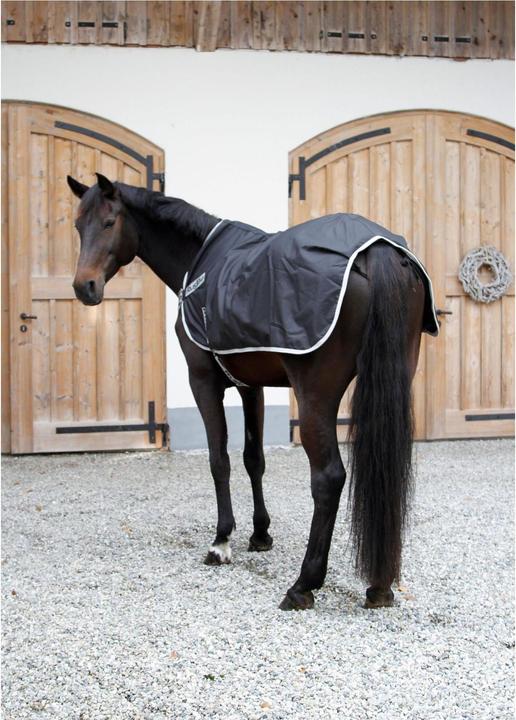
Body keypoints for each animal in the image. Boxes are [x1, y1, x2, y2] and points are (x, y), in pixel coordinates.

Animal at [67, 172, 434, 611]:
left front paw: (221, 540)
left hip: (316, 396)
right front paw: (260, 534)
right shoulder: (251, 387)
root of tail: (376, 250)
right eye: (77, 225)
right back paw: (379, 586)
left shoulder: (202, 381)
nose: (84, 287)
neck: (199, 261)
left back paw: (303, 585)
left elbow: (219, 459)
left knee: (328, 477)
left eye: (109, 223)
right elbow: (253, 459)